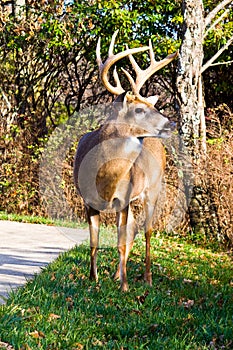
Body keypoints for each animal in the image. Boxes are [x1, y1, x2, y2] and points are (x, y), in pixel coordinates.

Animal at [73, 31, 177, 292]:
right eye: (139, 110)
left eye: (152, 106)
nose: (171, 124)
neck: (104, 179)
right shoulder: (87, 201)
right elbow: (94, 241)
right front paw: (93, 280)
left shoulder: (123, 198)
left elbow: (120, 241)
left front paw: (125, 287)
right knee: (132, 230)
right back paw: (116, 274)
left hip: (153, 188)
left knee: (147, 230)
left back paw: (146, 278)